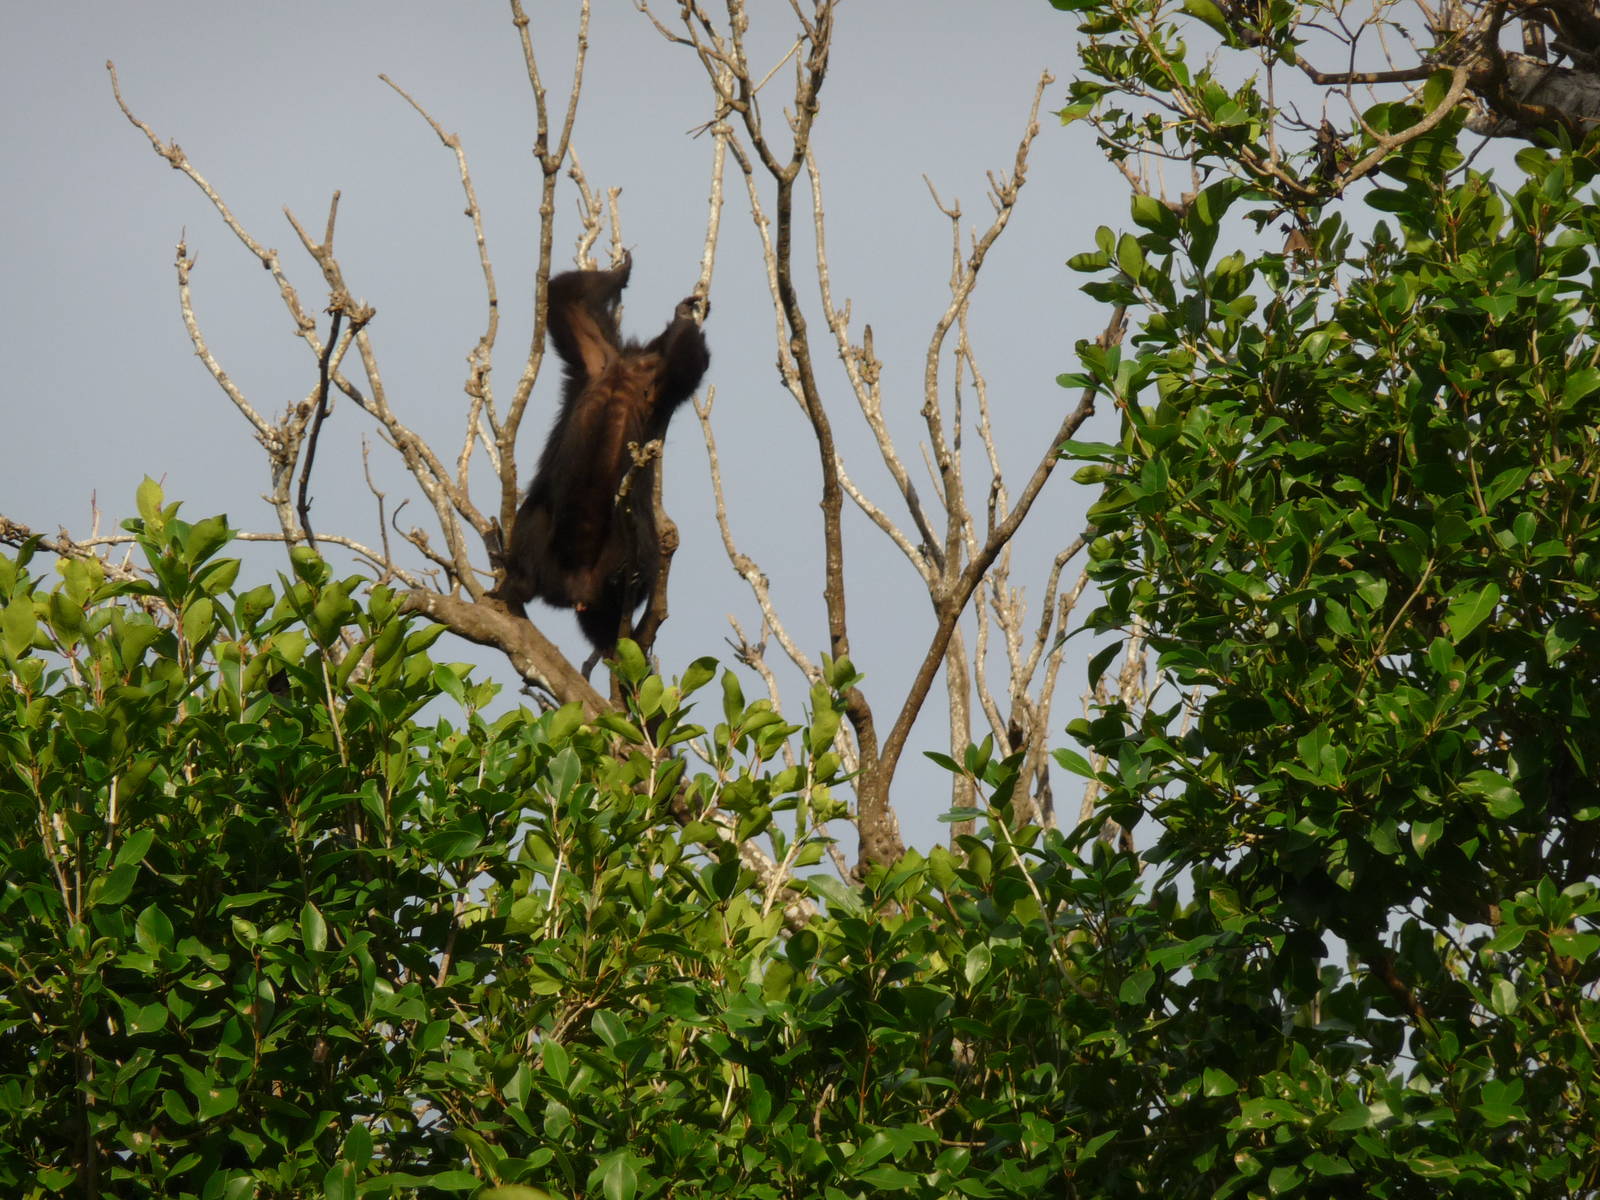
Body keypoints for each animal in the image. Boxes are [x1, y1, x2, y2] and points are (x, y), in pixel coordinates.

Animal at [495, 251, 710, 660]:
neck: (632, 370)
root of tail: (576, 588)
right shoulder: (596, 357)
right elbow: (564, 297)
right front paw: (624, 275)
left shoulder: (652, 380)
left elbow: (692, 361)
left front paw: (681, 316)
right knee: (537, 511)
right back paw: (518, 582)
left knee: (642, 538)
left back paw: (628, 586)